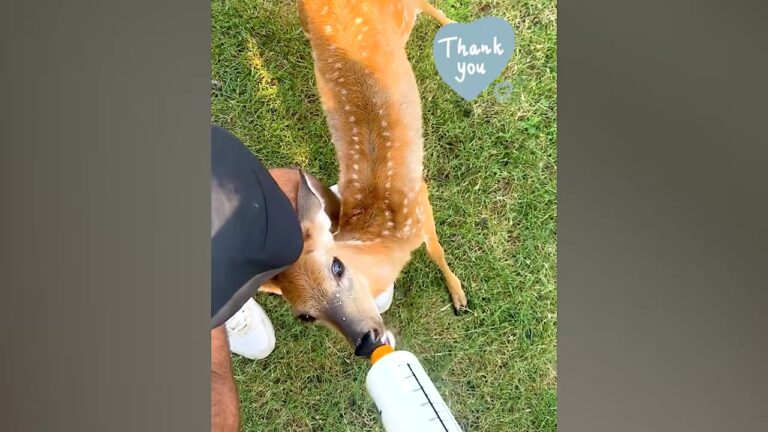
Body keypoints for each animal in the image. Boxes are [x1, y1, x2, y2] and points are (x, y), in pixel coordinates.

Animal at [261, 0, 466, 358]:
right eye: (305, 316)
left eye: (337, 266)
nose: (365, 341)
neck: (387, 236)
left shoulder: (420, 200)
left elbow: (436, 250)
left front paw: (458, 295)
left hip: (402, 16)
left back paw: (452, 25)